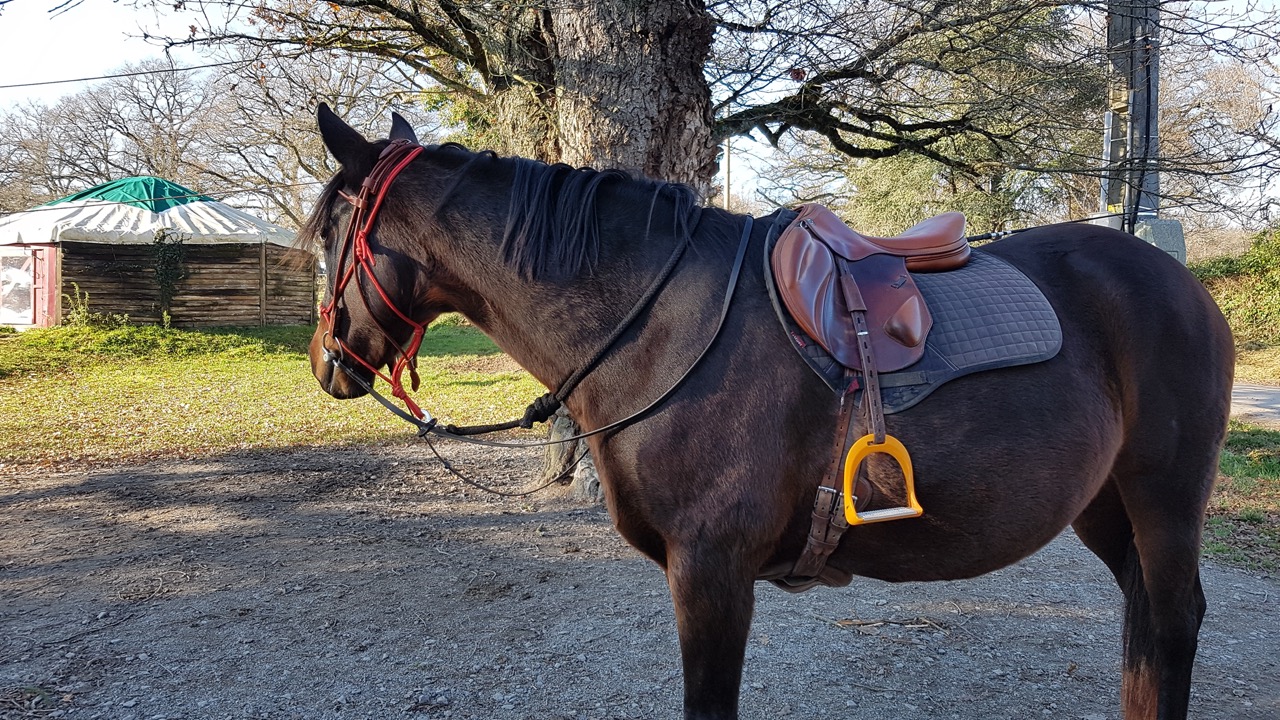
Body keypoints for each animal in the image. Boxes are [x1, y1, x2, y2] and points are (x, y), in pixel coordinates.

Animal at [304, 106, 1233, 717]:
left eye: (330, 236)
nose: (326, 364)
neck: (663, 322)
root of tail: (1181, 282)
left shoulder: (711, 572)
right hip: (1104, 506)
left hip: (1163, 496)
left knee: (1175, 622)